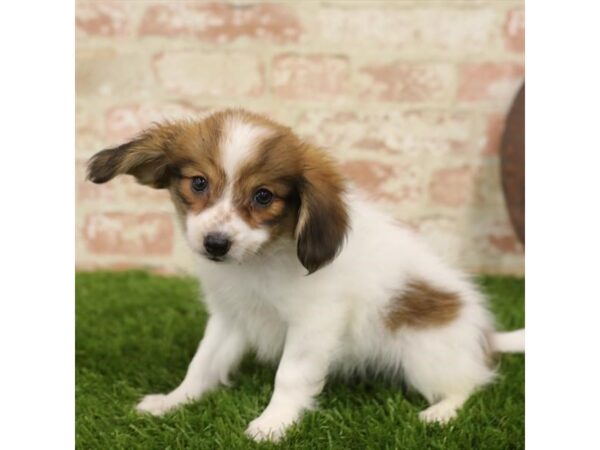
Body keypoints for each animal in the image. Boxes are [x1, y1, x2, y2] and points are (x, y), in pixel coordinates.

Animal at [86, 109, 524, 442]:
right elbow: (202, 363)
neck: (259, 261)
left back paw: (441, 413)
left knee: (471, 384)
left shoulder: (314, 323)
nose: (216, 244)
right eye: (198, 183)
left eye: (264, 196)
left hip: (426, 356)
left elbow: (290, 377)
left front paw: (273, 423)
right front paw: (175, 400)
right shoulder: (230, 317)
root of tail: (484, 336)